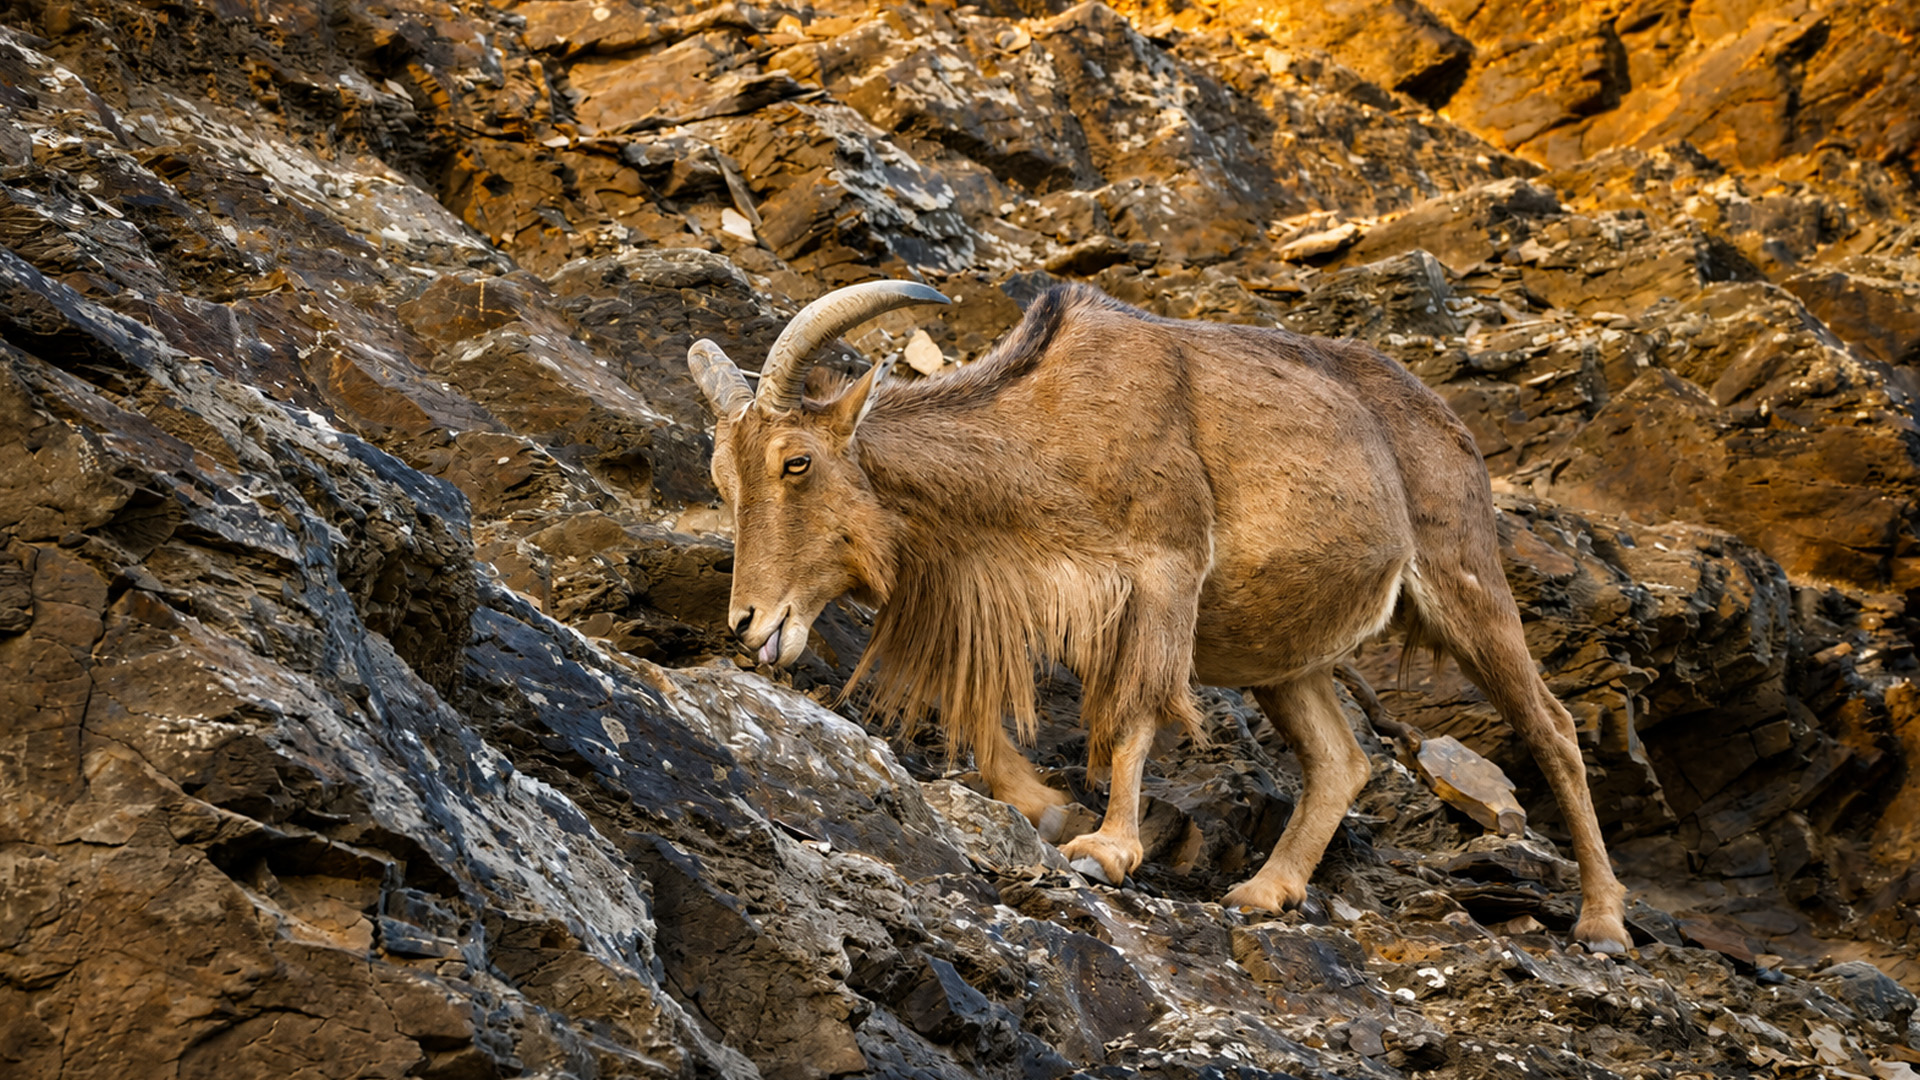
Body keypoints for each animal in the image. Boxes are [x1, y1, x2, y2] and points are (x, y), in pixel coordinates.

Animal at [686, 281, 1631, 953]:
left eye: (797, 462)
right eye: (722, 481)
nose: (749, 623)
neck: (1045, 430)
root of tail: (1452, 427)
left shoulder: (1162, 575)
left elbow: (1133, 716)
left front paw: (1107, 848)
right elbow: (979, 713)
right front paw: (1050, 810)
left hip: (1466, 583)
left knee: (1550, 728)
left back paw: (1604, 923)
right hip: (1283, 658)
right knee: (1341, 758)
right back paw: (1265, 891)